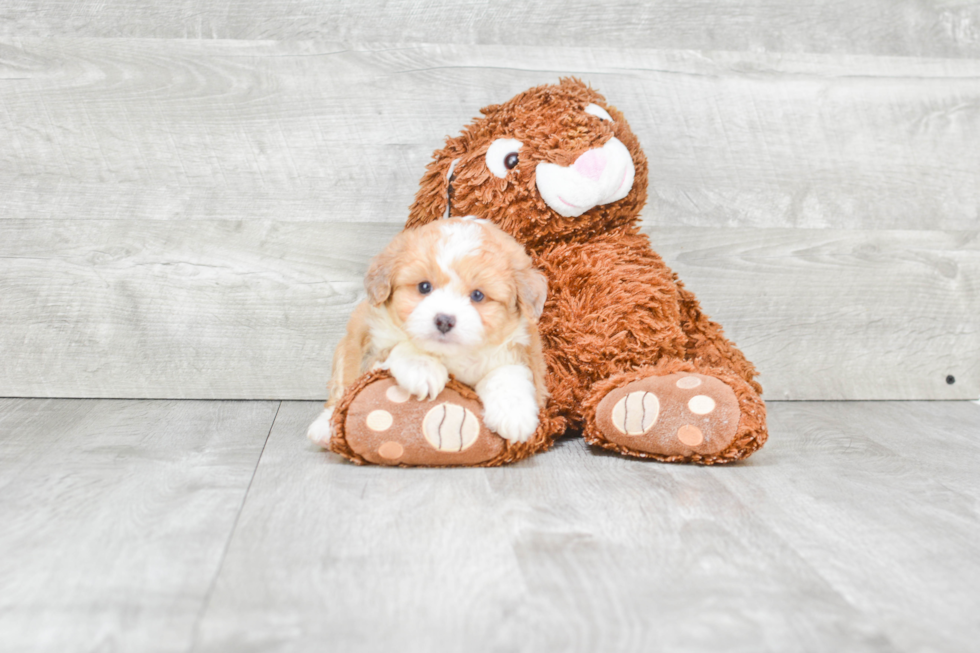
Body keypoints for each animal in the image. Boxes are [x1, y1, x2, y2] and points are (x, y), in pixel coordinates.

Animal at [308, 216, 548, 446]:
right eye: (424, 287)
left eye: (478, 295)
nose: (444, 321)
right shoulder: (373, 346)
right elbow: (403, 345)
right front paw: (423, 368)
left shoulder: (519, 351)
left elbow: (507, 373)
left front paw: (514, 414)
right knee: (340, 392)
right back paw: (324, 428)